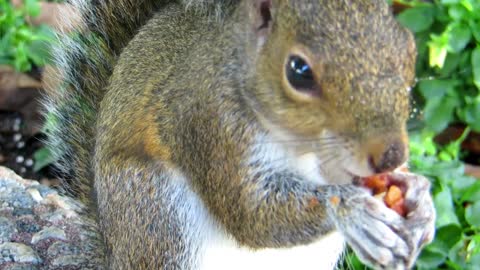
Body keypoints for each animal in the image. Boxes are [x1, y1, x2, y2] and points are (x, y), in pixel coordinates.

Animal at [45, 0, 436, 268]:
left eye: (408, 48)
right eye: (298, 71)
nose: (391, 155)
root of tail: (114, 254)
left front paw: (420, 199)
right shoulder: (208, 123)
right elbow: (251, 215)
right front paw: (353, 211)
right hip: (155, 212)